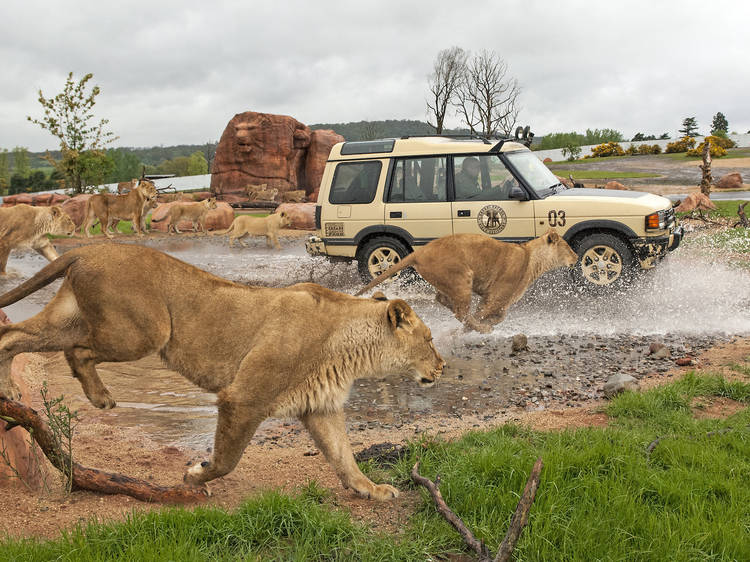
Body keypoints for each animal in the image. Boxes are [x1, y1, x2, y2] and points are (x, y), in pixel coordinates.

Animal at [0, 245, 444, 498]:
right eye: (430, 339)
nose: (441, 367)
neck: (349, 344)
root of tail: (88, 248)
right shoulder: (243, 399)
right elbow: (228, 459)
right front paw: (194, 477)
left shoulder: (320, 407)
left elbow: (344, 457)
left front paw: (372, 490)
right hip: (142, 332)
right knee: (76, 351)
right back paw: (100, 397)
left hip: (69, 320)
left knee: (12, 335)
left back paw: (8, 394)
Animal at [356, 229, 580, 332]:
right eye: (568, 247)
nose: (577, 256)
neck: (532, 259)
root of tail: (419, 252)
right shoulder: (494, 297)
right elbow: (483, 313)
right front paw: (477, 327)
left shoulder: (498, 301)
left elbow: (501, 316)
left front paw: (488, 323)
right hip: (462, 278)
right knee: (460, 312)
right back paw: (482, 329)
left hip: (448, 282)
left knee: (444, 301)